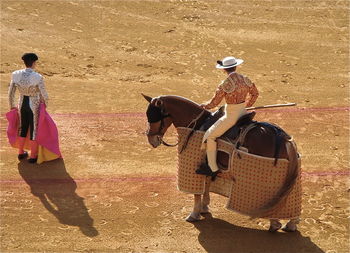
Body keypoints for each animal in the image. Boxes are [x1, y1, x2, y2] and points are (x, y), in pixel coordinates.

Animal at [141, 94, 300, 231]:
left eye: (154, 116)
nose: (151, 139)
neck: (196, 125)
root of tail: (285, 139)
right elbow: (206, 186)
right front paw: (204, 208)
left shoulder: (194, 169)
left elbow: (197, 194)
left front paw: (193, 215)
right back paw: (290, 224)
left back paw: (275, 223)